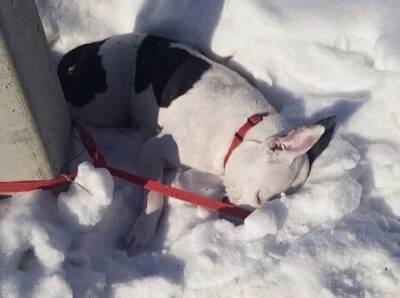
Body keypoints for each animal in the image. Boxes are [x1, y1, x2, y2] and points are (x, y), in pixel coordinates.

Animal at [57, 32, 334, 251]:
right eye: (259, 199)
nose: (237, 221)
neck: (239, 132)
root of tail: (99, 44)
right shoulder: (153, 151)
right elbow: (155, 193)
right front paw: (144, 229)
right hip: (102, 104)